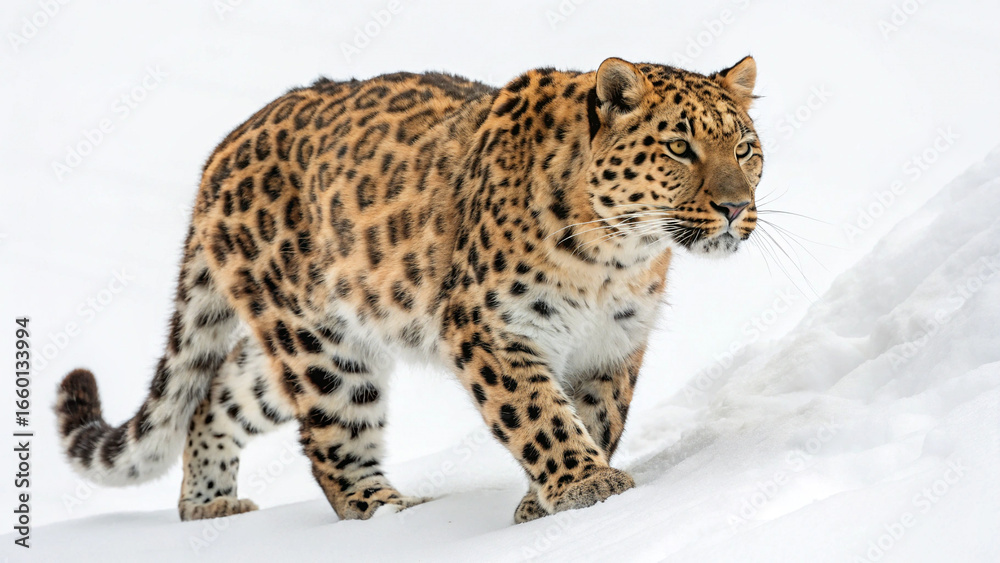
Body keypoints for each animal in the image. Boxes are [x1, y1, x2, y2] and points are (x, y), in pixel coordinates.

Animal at [55, 55, 763, 524]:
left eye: (746, 148)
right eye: (679, 147)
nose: (734, 207)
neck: (616, 255)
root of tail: (221, 151)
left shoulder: (612, 344)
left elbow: (595, 415)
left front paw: (547, 503)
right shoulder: (489, 327)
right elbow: (539, 414)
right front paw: (585, 487)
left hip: (306, 339)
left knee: (216, 393)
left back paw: (210, 507)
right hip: (322, 349)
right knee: (332, 444)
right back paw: (390, 512)